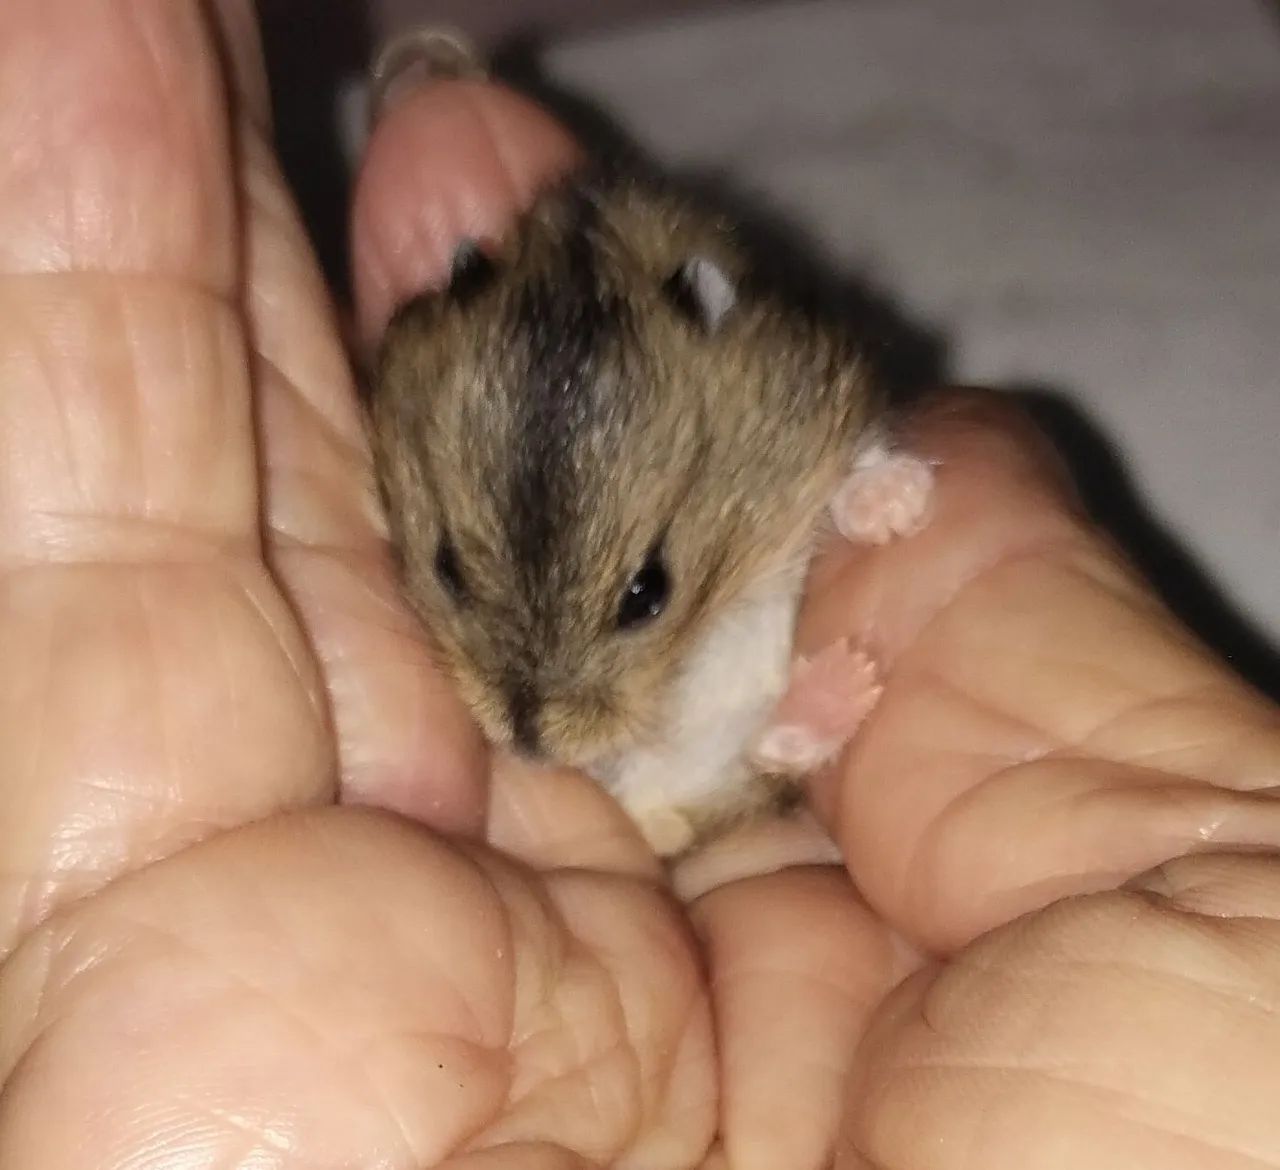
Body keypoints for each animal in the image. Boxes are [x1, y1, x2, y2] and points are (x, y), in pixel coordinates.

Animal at [369, 160, 935, 858]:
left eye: (647, 595)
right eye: (446, 569)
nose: (531, 747)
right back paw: (842, 682)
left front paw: (899, 507)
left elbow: (855, 458)